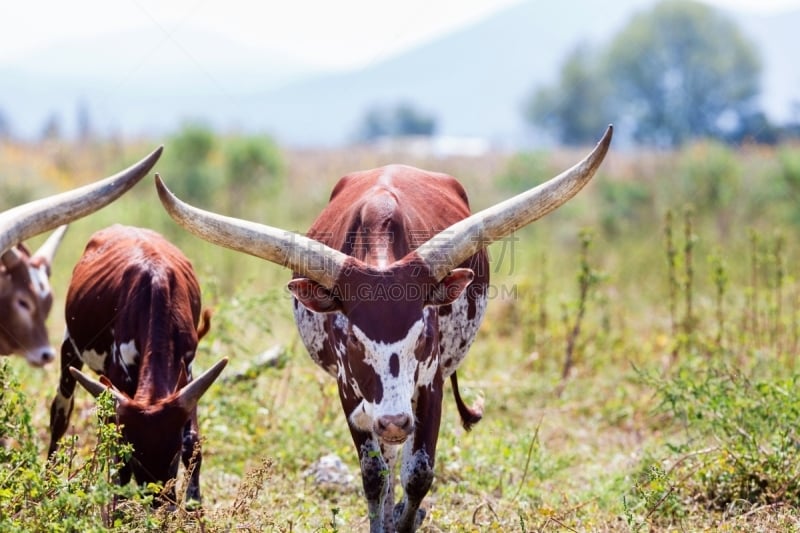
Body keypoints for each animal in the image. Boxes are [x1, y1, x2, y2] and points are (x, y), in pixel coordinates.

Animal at [48, 223, 227, 502]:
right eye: (136, 458)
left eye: (174, 452)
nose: (161, 501)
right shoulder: (117, 378)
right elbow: (117, 457)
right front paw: (118, 506)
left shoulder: (187, 374)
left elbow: (193, 440)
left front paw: (194, 505)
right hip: (70, 349)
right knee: (60, 412)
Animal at [158, 127, 620, 528]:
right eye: (351, 339)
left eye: (423, 336)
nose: (395, 421)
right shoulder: (349, 388)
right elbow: (373, 474)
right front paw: (384, 521)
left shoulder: (431, 382)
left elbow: (418, 473)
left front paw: (406, 518)